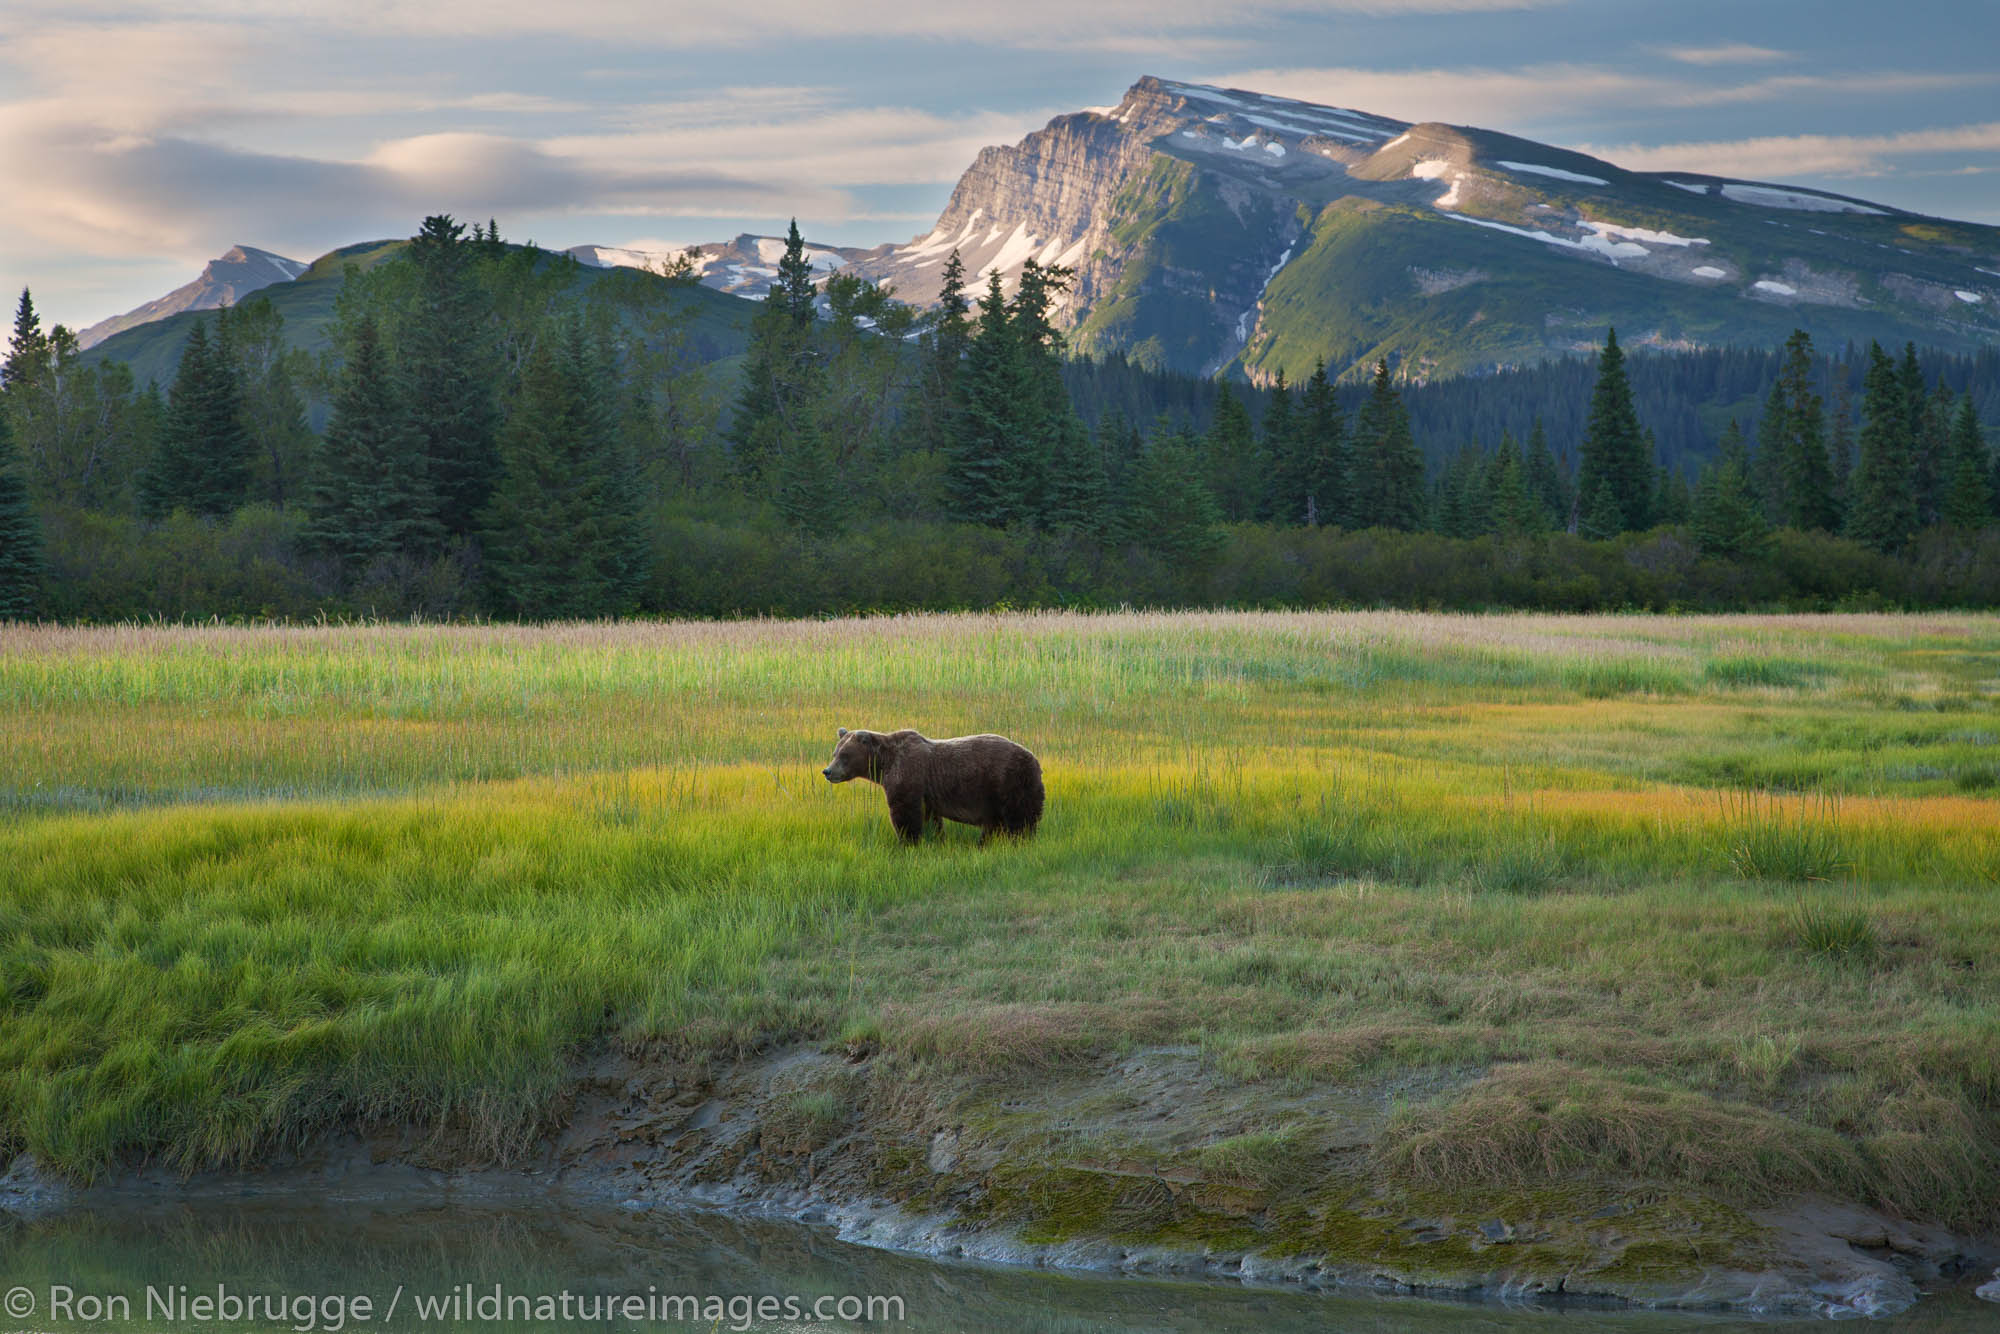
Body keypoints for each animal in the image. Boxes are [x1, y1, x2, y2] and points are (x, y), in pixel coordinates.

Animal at [824, 732, 1048, 844]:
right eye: (835, 753)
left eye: (844, 755)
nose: (827, 771)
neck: (884, 764)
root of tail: (1035, 759)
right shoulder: (926, 793)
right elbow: (930, 818)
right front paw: (935, 839)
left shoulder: (907, 776)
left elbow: (905, 815)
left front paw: (907, 842)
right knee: (996, 822)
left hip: (1009, 781)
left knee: (1020, 817)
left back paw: (1019, 840)